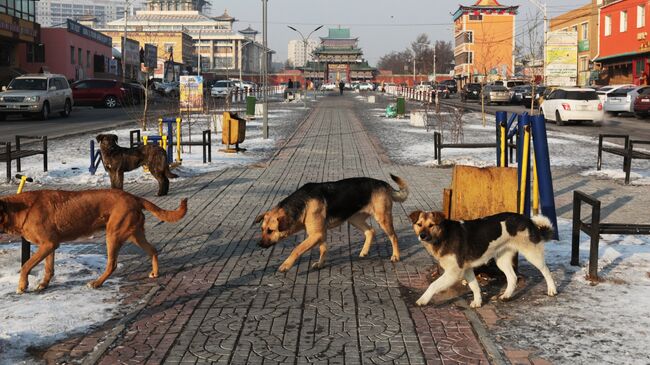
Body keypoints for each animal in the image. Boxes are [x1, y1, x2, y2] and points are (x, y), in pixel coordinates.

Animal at [0, 188, 187, 292]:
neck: (19, 210)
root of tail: (134, 197)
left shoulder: (48, 244)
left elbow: (25, 265)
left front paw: (22, 286)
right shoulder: (49, 245)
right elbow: (48, 268)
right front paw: (44, 284)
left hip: (113, 235)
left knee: (112, 264)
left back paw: (97, 283)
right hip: (135, 235)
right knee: (153, 250)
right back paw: (155, 273)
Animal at [252, 175, 404, 272]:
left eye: (270, 231)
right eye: (262, 229)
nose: (258, 244)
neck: (302, 203)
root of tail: (384, 183)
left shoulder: (316, 234)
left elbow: (297, 249)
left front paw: (286, 265)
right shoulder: (320, 234)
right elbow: (323, 249)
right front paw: (320, 264)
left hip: (383, 219)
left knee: (394, 237)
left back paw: (396, 256)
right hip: (354, 219)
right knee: (370, 231)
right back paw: (364, 251)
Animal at [408, 210, 556, 308]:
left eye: (431, 225)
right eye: (419, 224)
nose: (422, 236)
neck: (444, 234)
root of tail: (528, 220)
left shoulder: (454, 272)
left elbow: (433, 285)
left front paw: (423, 300)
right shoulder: (467, 269)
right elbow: (474, 286)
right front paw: (478, 302)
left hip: (532, 254)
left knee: (546, 270)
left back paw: (552, 290)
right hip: (502, 260)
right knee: (512, 277)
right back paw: (506, 295)